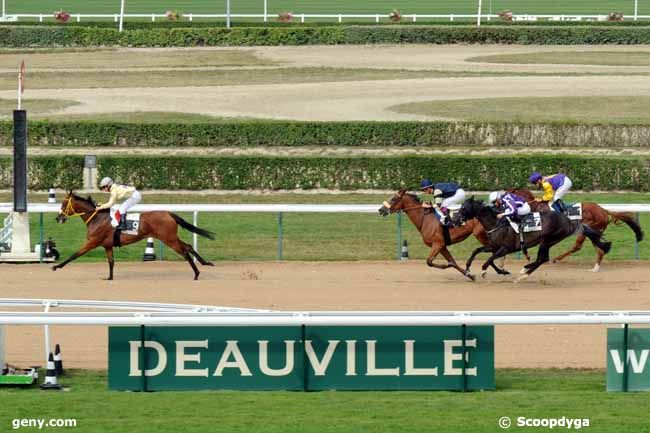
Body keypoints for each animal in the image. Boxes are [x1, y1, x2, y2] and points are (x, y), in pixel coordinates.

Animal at [52, 192, 214, 280]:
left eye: (64, 204)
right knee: (188, 246)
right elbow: (111, 262)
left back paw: (197, 273)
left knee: (185, 250)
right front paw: (109, 277)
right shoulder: (107, 245)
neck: (97, 218)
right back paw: (204, 264)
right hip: (171, 237)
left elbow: (75, 255)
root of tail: (168, 213)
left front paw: (56, 266)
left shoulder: (92, 242)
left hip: (169, 238)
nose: (58, 218)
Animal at [378, 189, 508, 280]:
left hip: (481, 235)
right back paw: (502, 270)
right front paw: (469, 274)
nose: (381, 210)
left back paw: (502, 269)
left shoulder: (438, 244)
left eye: (394, 199)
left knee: (494, 251)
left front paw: (446, 266)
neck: (425, 219)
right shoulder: (442, 246)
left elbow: (429, 262)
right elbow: (452, 262)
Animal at [454, 196, 612, 280]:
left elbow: (489, 260)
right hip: (549, 241)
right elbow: (477, 251)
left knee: (543, 258)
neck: (496, 223)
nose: (455, 220)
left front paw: (484, 271)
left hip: (546, 239)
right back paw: (525, 270)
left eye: (463, 208)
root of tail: (568, 220)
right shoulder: (493, 246)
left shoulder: (505, 248)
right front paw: (468, 268)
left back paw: (525, 272)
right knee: (543, 258)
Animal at [512, 188, 644, 270]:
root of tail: (604, 210)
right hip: (595, 231)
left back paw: (557, 259)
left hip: (586, 228)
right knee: (599, 249)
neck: (536, 206)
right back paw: (595, 267)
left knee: (577, 246)